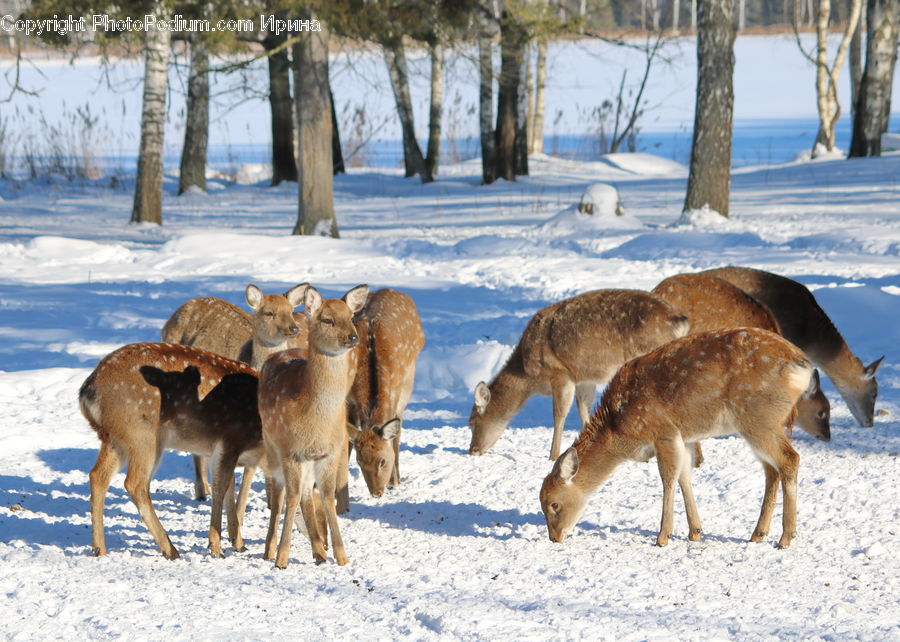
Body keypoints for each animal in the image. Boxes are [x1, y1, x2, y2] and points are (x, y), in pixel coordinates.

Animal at [79, 343, 263, 559]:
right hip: (142, 436)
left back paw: (99, 549)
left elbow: (229, 489)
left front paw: (238, 542)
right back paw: (170, 549)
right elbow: (222, 487)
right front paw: (216, 548)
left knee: (98, 475)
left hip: (116, 439)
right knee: (135, 483)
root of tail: (87, 391)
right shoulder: (230, 441)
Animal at [259, 284, 368, 569]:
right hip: (271, 444)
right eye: (327, 319)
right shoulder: (291, 451)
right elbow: (292, 497)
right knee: (281, 491)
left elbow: (328, 497)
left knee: (308, 492)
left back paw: (319, 551)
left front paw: (341, 556)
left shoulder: (330, 452)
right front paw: (282, 558)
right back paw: (269, 550)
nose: (352, 337)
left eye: (351, 317)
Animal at [346, 289, 425, 498]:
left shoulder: (396, 388)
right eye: (359, 462)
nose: (376, 493)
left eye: (382, 460)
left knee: (399, 430)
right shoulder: (348, 397)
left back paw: (396, 479)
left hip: (409, 379)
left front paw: (393, 481)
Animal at [468, 289, 690, 461]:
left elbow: (559, 415)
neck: (528, 375)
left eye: (472, 423)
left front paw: (553, 455)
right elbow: (584, 410)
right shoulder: (584, 378)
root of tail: (680, 320)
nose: (472, 450)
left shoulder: (560, 373)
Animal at [540, 328, 815, 549]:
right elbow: (685, 476)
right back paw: (758, 533)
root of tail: (802, 365)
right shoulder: (686, 437)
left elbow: (668, 479)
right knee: (771, 469)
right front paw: (695, 532)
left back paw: (785, 538)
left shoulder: (663, 431)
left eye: (554, 504)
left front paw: (663, 537)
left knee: (790, 459)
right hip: (761, 422)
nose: (554, 538)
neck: (618, 429)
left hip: (759, 417)